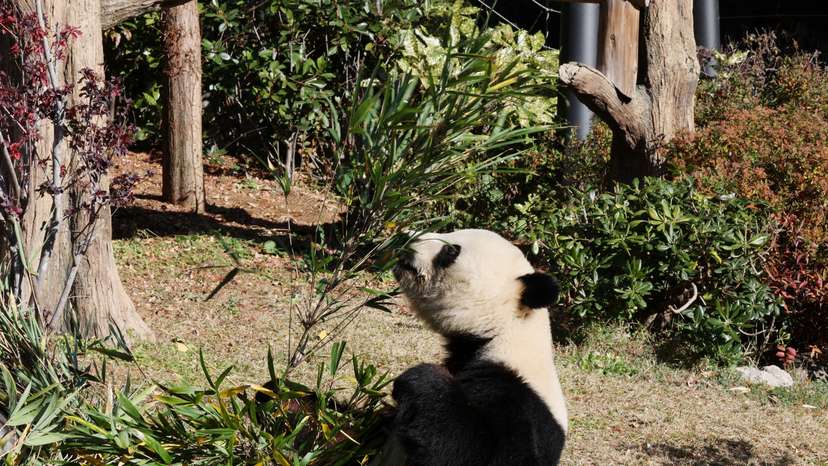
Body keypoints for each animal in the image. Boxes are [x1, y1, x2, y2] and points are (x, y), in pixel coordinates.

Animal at [372, 229, 567, 466]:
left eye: (451, 250)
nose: (407, 235)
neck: (503, 330)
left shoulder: (518, 401)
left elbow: (486, 452)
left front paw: (422, 378)